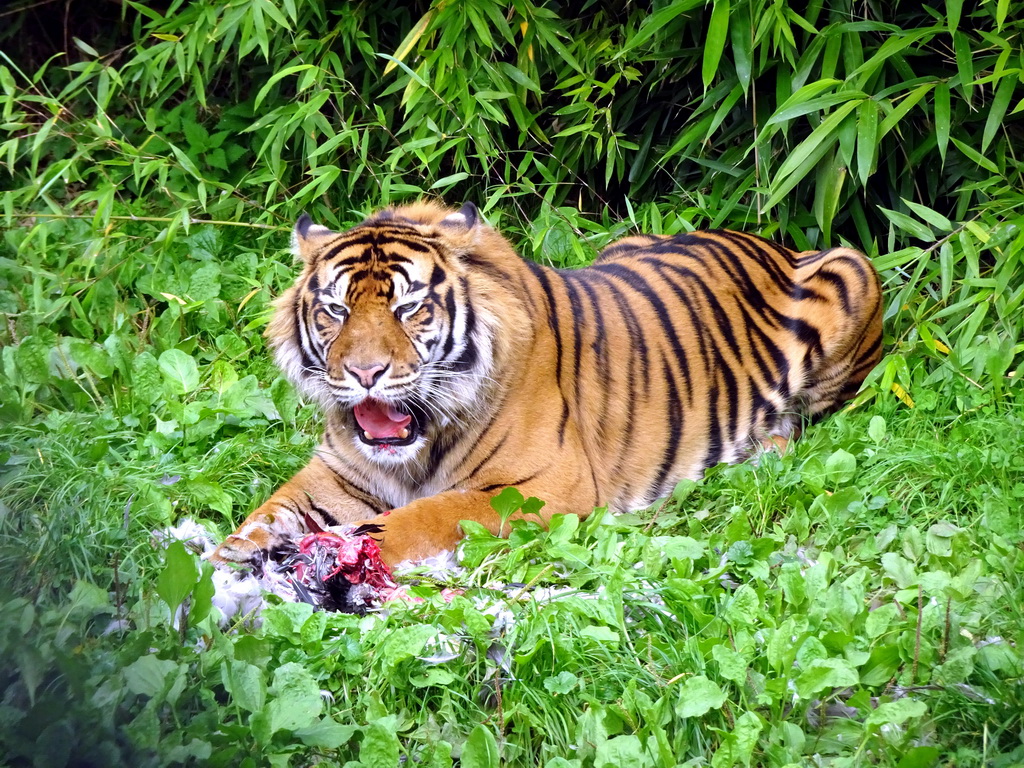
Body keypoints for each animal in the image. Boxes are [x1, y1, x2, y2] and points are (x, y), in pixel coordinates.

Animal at [211, 201, 884, 569]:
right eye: (336, 310)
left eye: (408, 308)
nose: (364, 373)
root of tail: (766, 239)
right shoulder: (339, 471)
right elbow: (272, 509)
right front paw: (226, 558)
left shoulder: (545, 486)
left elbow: (431, 513)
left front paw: (347, 552)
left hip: (853, 270)